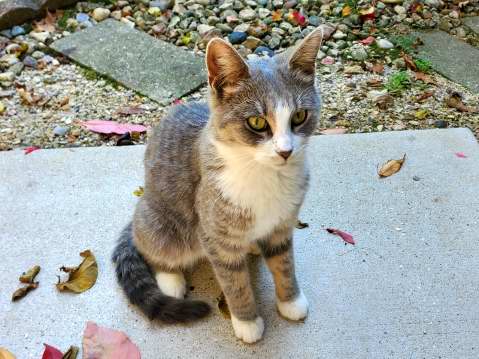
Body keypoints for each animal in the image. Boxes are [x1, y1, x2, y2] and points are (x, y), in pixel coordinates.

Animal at [112, 24, 330, 344]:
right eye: (257, 122)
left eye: (300, 116)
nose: (285, 151)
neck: (265, 175)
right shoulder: (216, 236)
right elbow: (234, 282)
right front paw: (247, 321)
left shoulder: (282, 224)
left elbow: (284, 264)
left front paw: (290, 301)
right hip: (161, 221)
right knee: (152, 245)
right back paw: (170, 279)